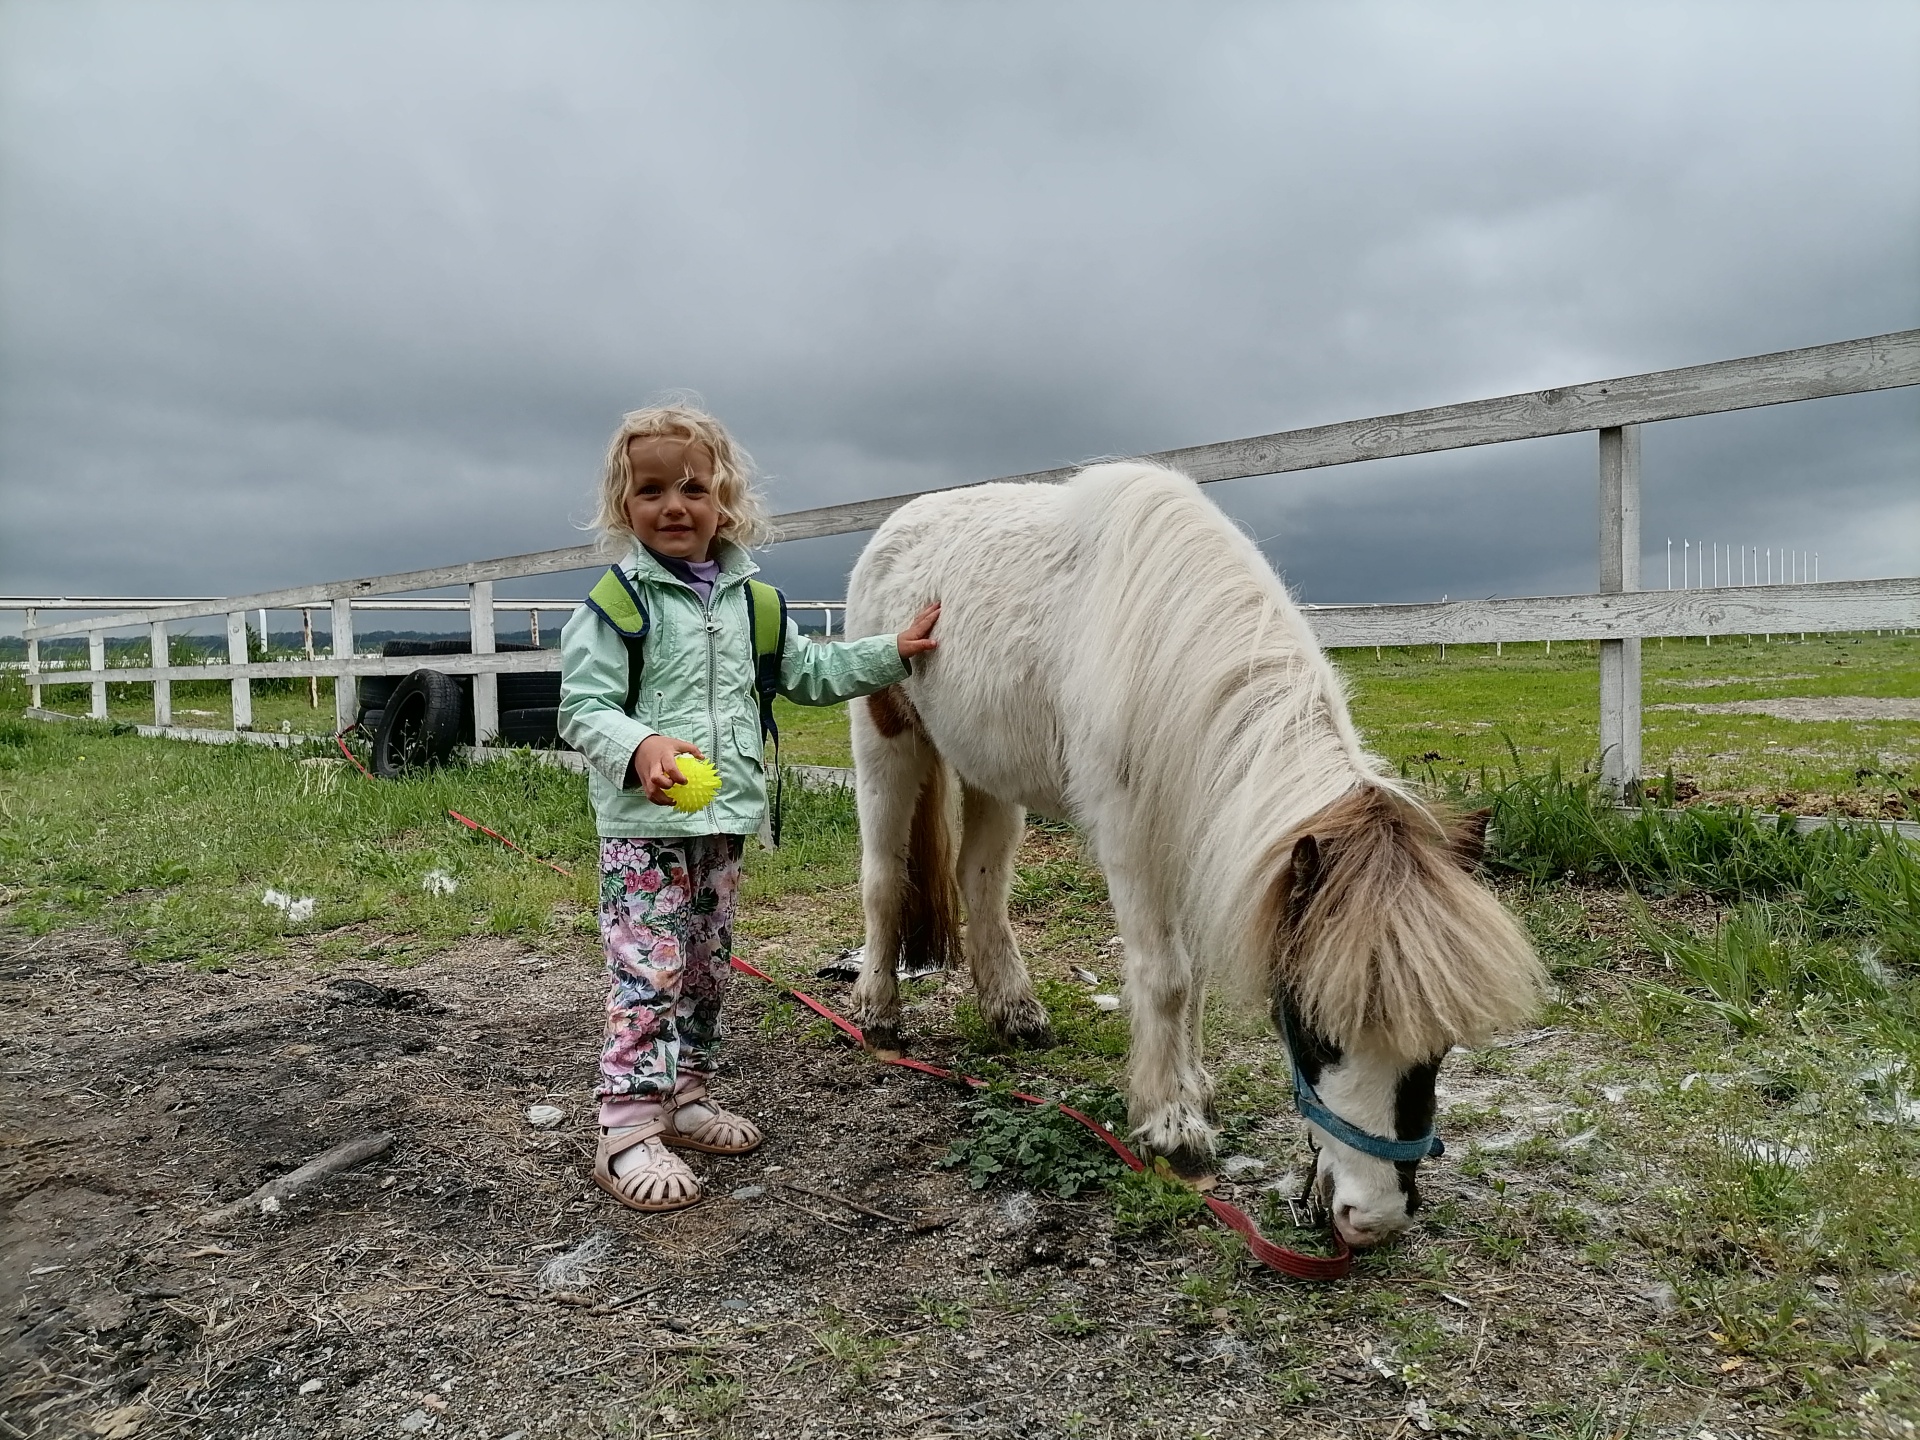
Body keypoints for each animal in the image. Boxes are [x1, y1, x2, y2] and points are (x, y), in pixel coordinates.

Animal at [844, 464, 1543, 1251]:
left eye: (1440, 1047)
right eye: (1314, 1032)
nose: (1374, 1218)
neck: (1161, 646)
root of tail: (896, 528)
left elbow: (1196, 977)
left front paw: (1194, 1089)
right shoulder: (1130, 839)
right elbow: (1167, 977)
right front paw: (1171, 1127)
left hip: (990, 771)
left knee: (981, 884)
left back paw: (1015, 1012)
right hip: (885, 742)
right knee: (883, 880)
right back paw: (877, 1012)